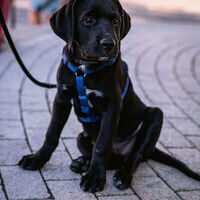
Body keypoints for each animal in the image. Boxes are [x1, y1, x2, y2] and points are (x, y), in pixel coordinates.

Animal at [18, 0, 199, 193]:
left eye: (116, 21)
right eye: (88, 20)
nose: (109, 44)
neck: (84, 68)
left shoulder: (111, 107)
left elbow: (102, 145)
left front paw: (94, 178)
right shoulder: (62, 98)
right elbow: (51, 133)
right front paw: (37, 159)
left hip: (156, 116)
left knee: (133, 156)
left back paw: (121, 175)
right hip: (81, 136)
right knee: (111, 158)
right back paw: (83, 163)